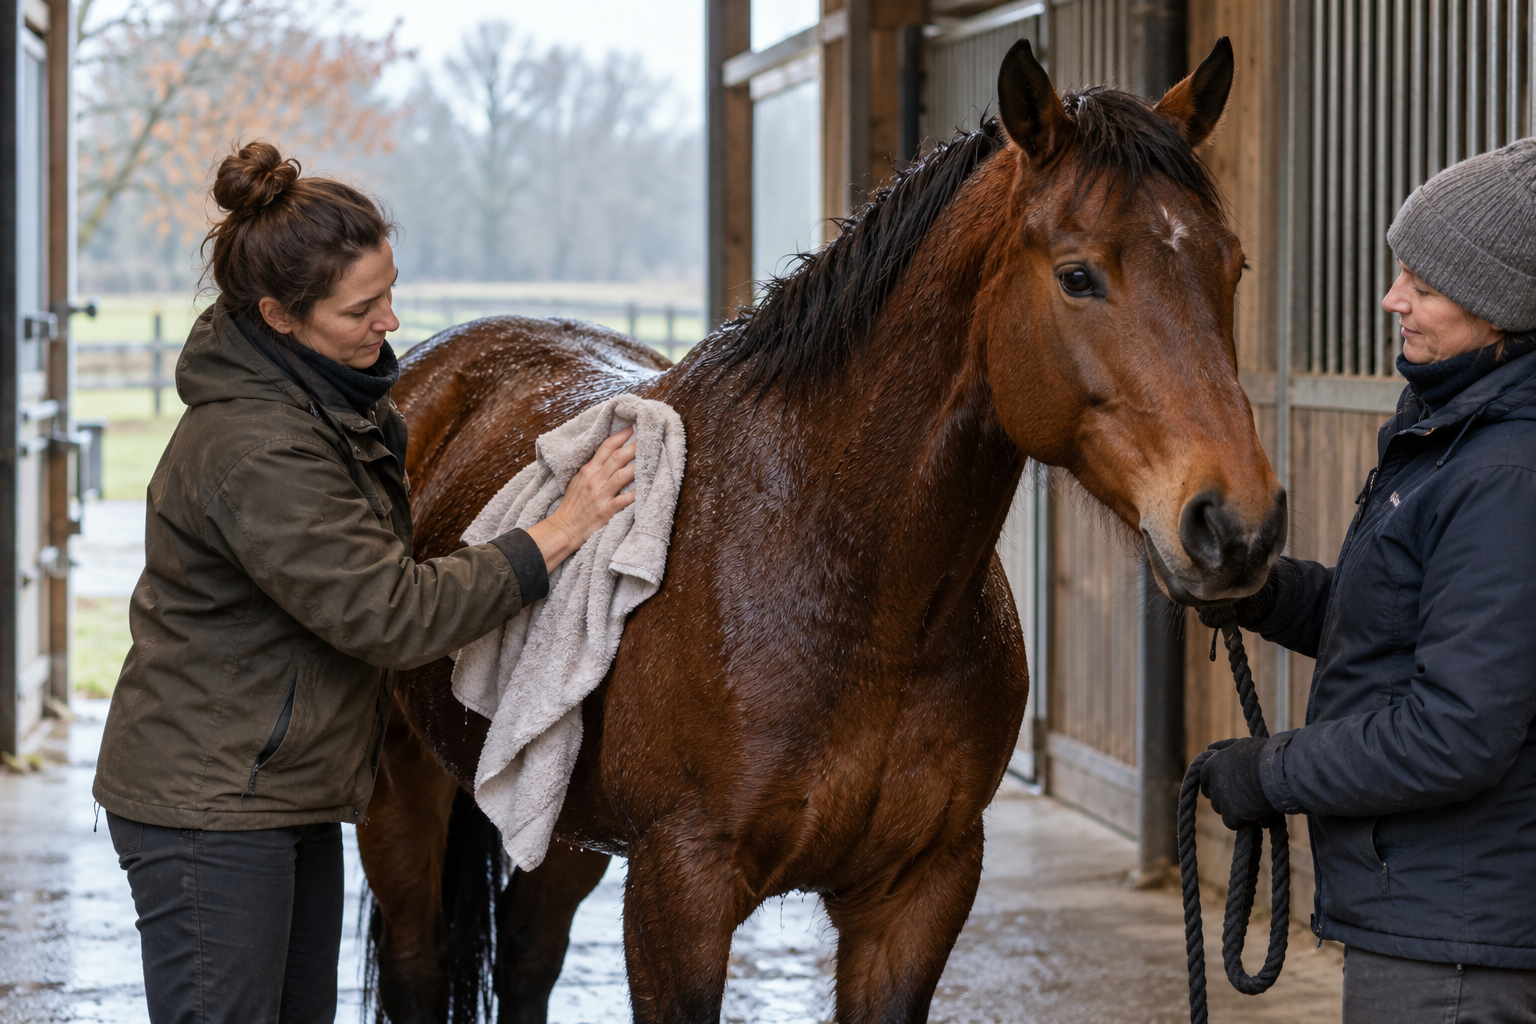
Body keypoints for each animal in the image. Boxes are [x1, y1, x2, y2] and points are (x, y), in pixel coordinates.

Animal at [358, 36, 1283, 1024]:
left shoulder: (918, 892)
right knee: (418, 965)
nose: (1237, 524)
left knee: (529, 958)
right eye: (1078, 275)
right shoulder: (678, 892)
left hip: (559, 824)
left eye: (1233, 267)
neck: (852, 581)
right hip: (402, 790)